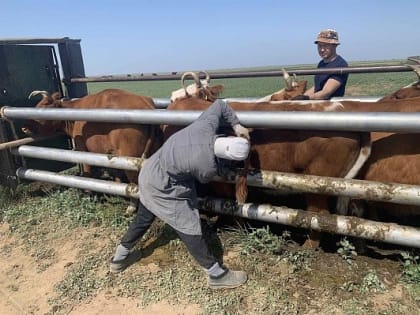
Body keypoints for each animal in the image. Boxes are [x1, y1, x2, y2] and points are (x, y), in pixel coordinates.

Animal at [22, 89, 164, 215]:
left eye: (44, 105)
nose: (24, 127)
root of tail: (145, 105)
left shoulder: (82, 149)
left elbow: (87, 173)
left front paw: (88, 194)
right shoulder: (112, 153)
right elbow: (116, 173)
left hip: (130, 159)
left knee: (134, 183)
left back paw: (131, 207)